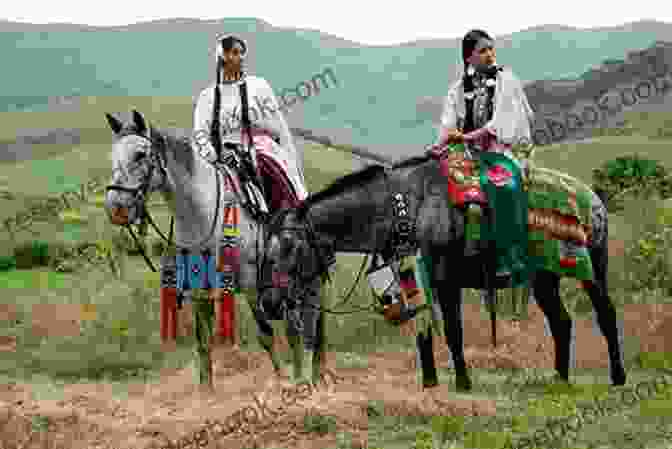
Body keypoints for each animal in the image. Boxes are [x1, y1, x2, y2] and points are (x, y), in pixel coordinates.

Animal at [262, 153, 624, 388]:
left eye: (289, 247)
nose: (270, 303)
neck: (404, 208)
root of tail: (594, 199)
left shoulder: (445, 281)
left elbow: (452, 331)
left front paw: (462, 382)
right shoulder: (415, 282)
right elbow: (424, 334)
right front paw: (429, 382)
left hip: (592, 270)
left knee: (606, 314)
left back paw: (617, 376)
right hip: (543, 278)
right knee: (561, 321)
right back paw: (560, 378)